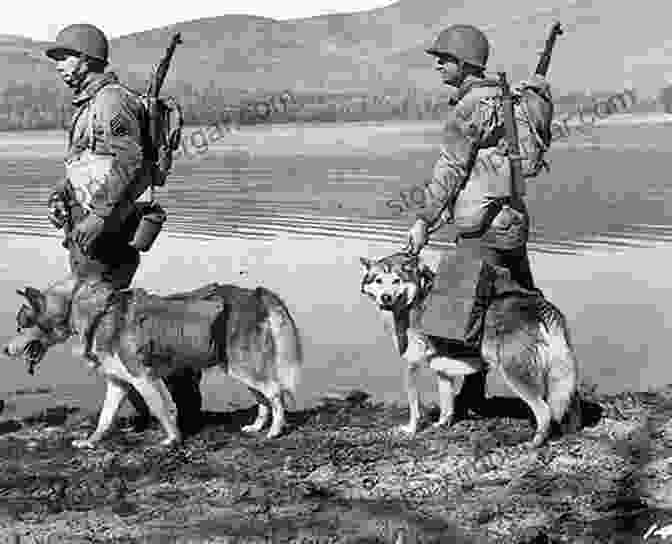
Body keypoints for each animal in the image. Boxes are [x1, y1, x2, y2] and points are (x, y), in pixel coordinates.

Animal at [2, 278, 302, 448]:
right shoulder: (118, 383)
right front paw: (91, 442)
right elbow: (105, 418)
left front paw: (173, 440)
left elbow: (161, 410)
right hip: (239, 369)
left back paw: (275, 431)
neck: (95, 313)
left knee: (276, 394)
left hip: (244, 368)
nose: (5, 349)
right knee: (263, 399)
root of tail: (256, 293)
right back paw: (257, 427)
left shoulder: (143, 378)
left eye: (21, 324)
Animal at [360, 251, 580, 446]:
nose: (385, 298)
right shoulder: (442, 370)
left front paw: (411, 430)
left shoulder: (411, 366)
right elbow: (446, 404)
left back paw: (535, 442)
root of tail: (541, 308)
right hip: (556, 372)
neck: (415, 298)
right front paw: (441, 425)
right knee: (567, 400)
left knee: (545, 411)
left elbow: (415, 408)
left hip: (517, 375)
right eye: (378, 280)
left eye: (396, 281)